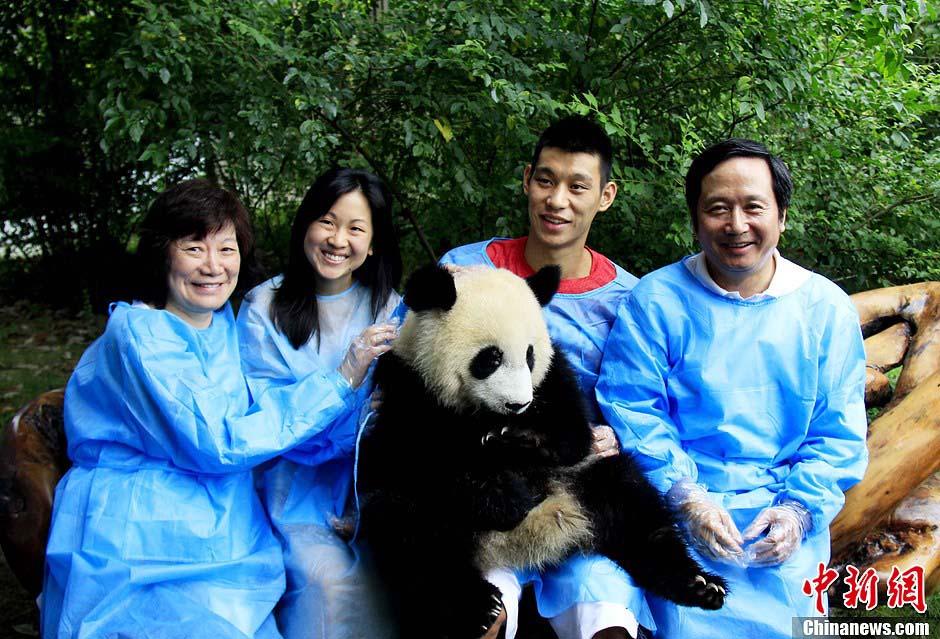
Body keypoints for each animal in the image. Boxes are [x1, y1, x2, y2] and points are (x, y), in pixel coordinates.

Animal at [354, 262, 728, 636]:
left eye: (530, 355)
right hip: (430, 513)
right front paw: (505, 496)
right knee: (411, 536)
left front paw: (514, 439)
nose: (518, 404)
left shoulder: (553, 378)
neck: (483, 413)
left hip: (584, 480)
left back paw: (699, 584)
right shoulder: (408, 386)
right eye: (490, 358)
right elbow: (421, 457)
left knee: (635, 506)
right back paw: (478, 607)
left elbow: (573, 436)